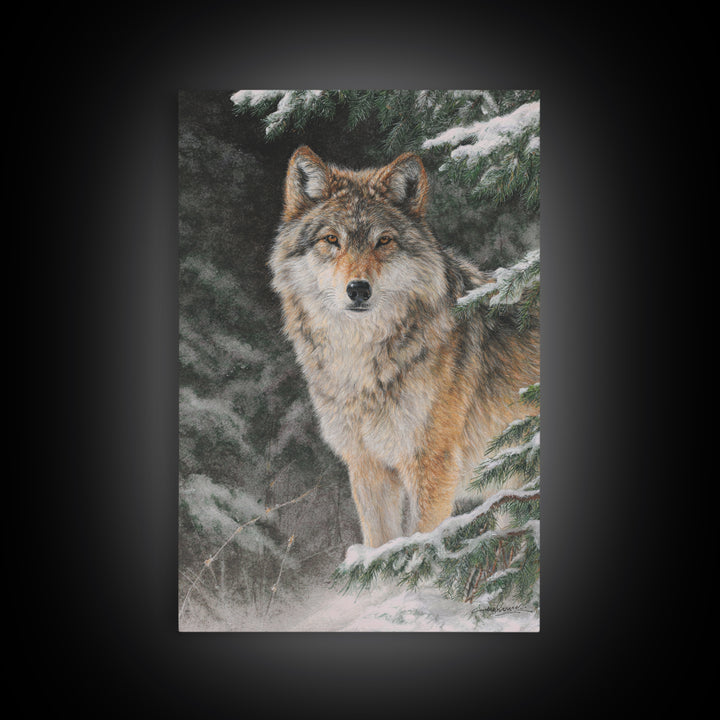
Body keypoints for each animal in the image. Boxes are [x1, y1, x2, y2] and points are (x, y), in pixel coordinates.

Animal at [269, 146, 539, 548]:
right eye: (332, 240)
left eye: (383, 241)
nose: (358, 289)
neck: (363, 364)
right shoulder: (367, 466)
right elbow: (381, 546)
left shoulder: (431, 465)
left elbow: (418, 545)